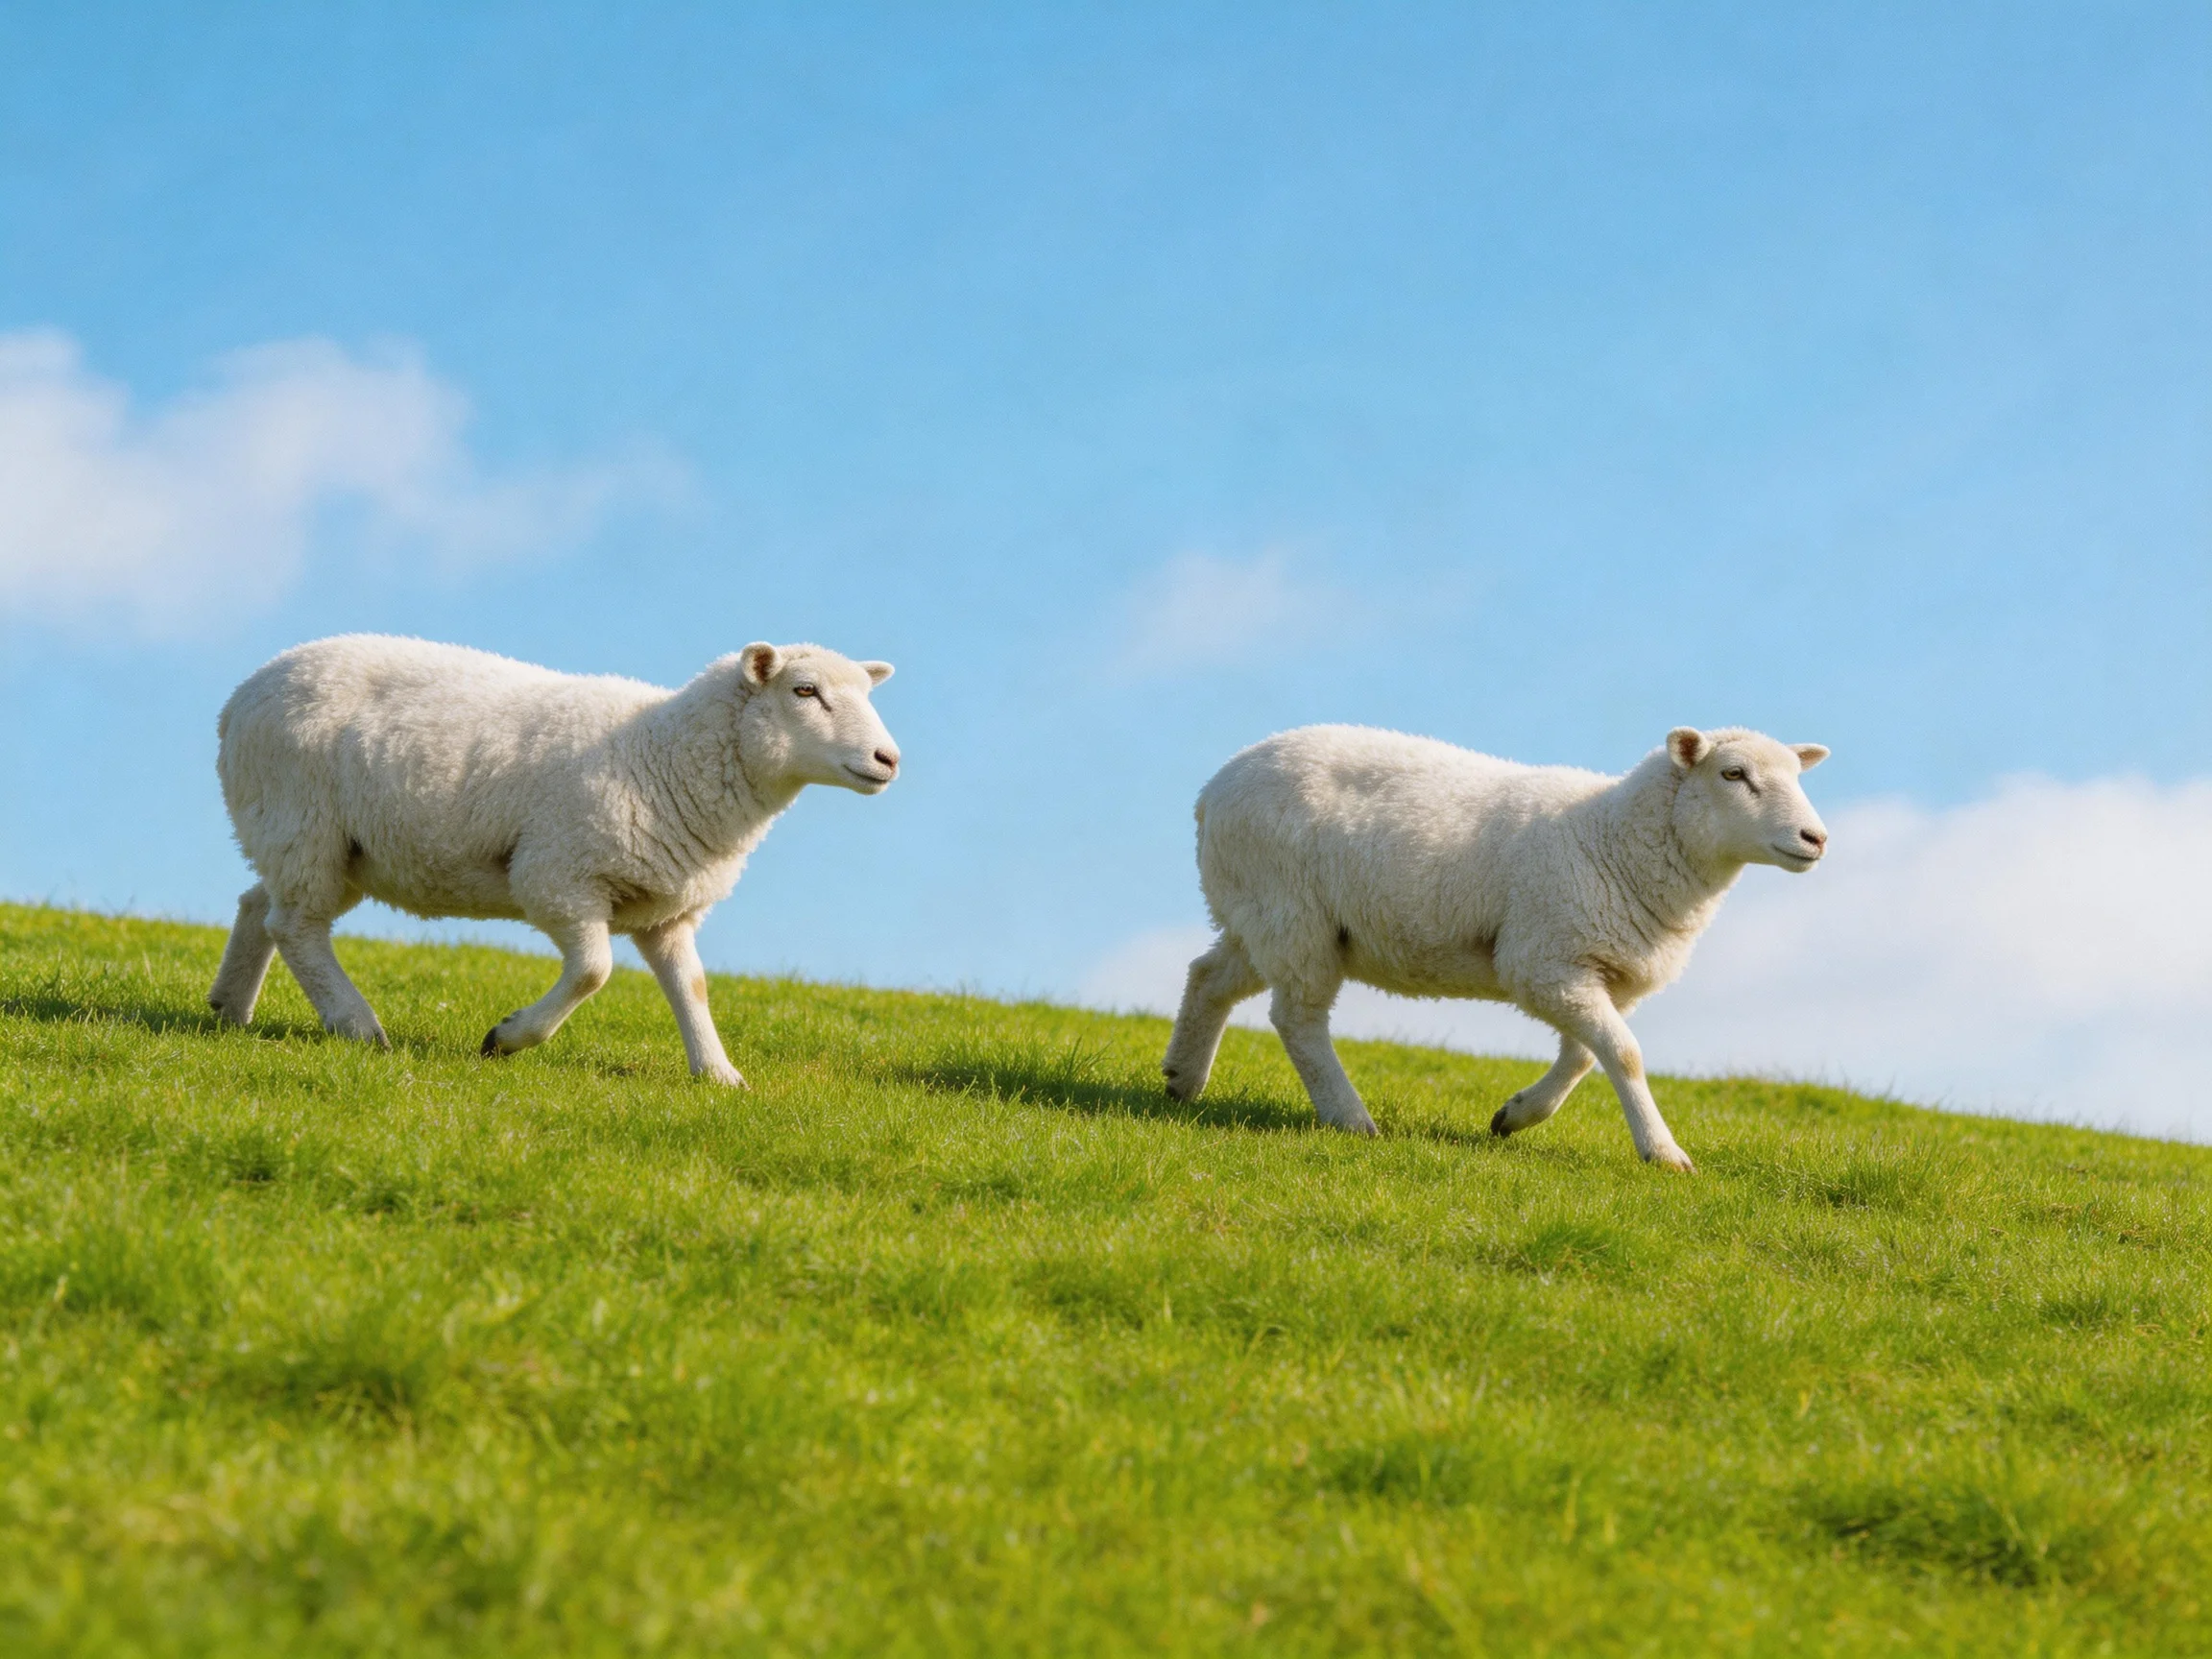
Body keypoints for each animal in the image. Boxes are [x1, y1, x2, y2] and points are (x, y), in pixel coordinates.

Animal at [207, 633, 900, 1083]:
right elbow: (593, 971)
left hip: (323, 842)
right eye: (805, 690)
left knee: (259, 905)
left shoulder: (666, 910)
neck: (664, 754)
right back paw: (354, 1023)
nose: (888, 759)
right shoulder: (557, 875)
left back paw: (229, 1009)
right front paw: (507, 1038)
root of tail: (239, 698)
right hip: (303, 820)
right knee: (296, 926)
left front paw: (717, 1073)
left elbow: (693, 986)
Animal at [1160, 725, 1829, 1169]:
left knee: (1208, 976)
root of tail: (1210, 792)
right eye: (1733, 774)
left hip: (1258, 916)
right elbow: (1625, 1053)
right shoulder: (1542, 961)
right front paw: (1663, 1154)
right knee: (1297, 1018)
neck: (1614, 837)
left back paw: (1181, 1081)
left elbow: (1586, 1057)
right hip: (1293, 914)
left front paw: (1517, 1115)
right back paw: (1349, 1118)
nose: (1815, 838)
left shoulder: (1597, 972)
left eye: (1797, 778)